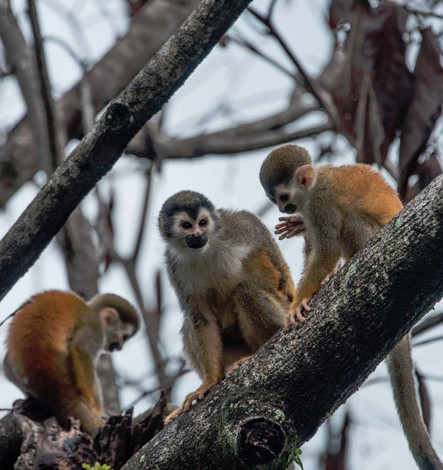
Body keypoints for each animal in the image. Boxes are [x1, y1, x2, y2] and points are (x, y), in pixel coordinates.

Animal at [3, 290, 139, 436]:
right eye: (124, 337)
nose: (120, 347)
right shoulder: (95, 328)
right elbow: (81, 350)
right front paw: (96, 410)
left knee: (6, 363)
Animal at [158, 191, 296, 422]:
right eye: (187, 225)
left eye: (202, 223)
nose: (198, 234)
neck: (203, 251)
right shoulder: (174, 265)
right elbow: (199, 317)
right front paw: (209, 382)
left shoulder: (234, 228)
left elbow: (256, 231)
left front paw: (289, 288)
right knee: (189, 323)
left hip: (280, 315)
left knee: (246, 289)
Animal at [260, 143, 443, 470]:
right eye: (274, 201)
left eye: (283, 198)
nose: (283, 209)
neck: (314, 185)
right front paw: (298, 227)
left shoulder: (320, 203)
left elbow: (327, 248)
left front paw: (298, 302)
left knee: (352, 221)